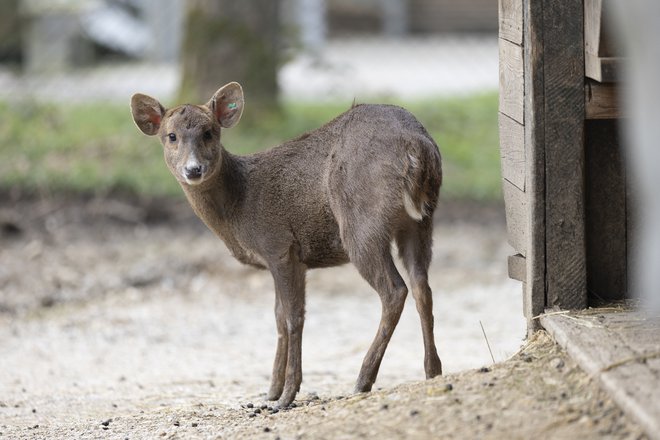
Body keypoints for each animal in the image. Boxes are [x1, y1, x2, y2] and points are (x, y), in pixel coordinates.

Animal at [130, 83, 444, 410]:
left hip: (360, 222)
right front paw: (271, 390)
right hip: (420, 222)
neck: (239, 205)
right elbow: (279, 317)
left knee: (395, 291)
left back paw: (362, 380)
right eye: (171, 135)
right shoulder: (293, 260)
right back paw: (432, 371)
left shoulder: (279, 245)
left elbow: (294, 317)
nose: (193, 169)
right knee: (422, 288)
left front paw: (286, 395)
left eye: (209, 132)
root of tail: (416, 145)